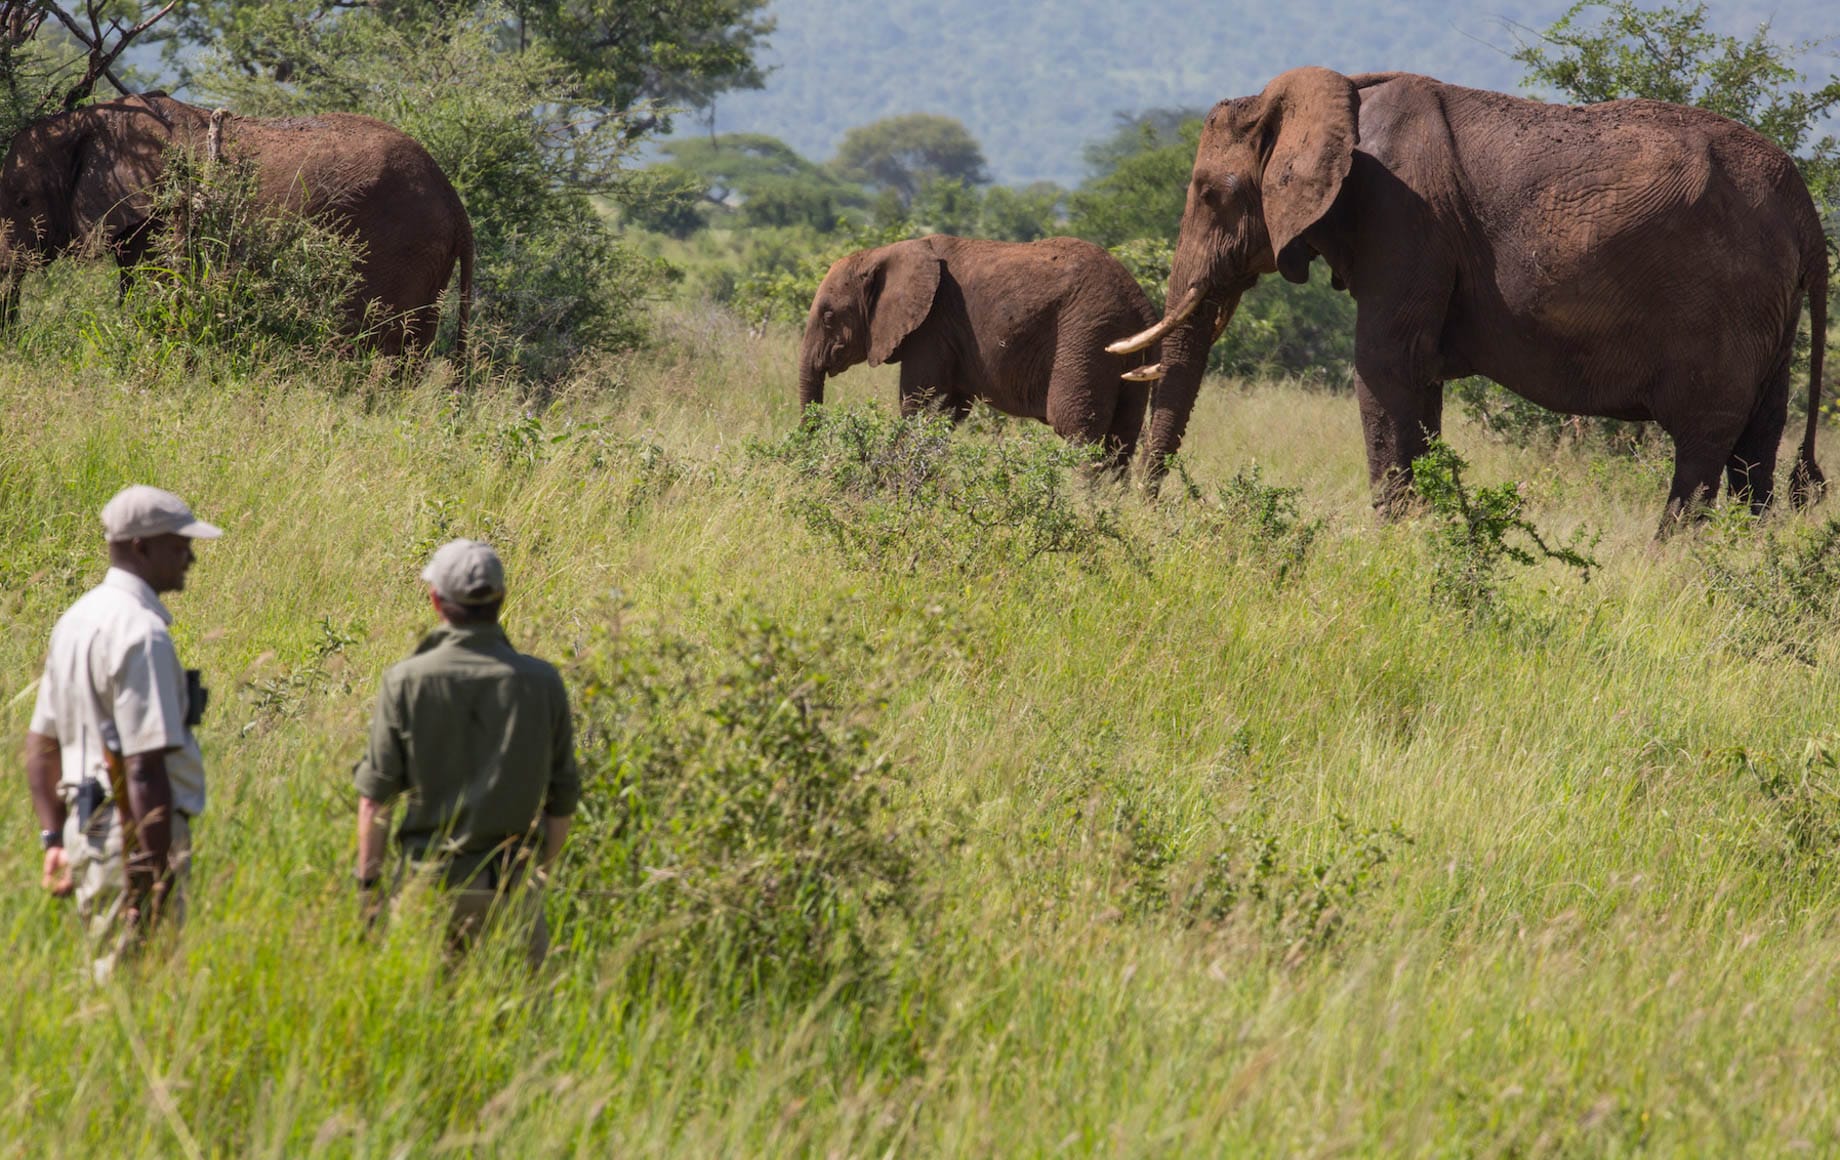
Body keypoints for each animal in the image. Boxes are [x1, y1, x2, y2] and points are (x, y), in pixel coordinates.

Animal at [3, 94, 474, 355]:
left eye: (23, 201)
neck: (92, 121)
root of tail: (453, 200)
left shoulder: (163, 213)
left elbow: (154, 288)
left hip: (395, 245)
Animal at [798, 233, 1155, 475]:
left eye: (828, 316)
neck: (884, 252)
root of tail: (1139, 301)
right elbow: (946, 413)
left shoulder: (932, 327)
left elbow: (920, 408)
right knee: (1122, 438)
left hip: (1087, 336)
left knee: (1079, 430)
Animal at [1111, 70, 1832, 526]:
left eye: (1210, 193)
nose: (1145, 511)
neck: (1335, 93)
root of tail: (1805, 207)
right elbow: (1418, 384)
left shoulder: (1403, 218)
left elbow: (1384, 368)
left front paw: (1392, 540)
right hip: (1770, 314)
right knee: (1755, 453)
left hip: (1729, 303)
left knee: (1704, 447)